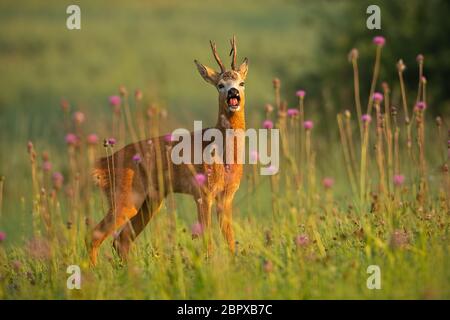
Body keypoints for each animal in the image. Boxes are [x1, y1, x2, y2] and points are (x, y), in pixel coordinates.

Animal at [88, 37, 250, 264]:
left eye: (241, 83)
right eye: (220, 85)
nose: (232, 93)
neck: (223, 155)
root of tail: (105, 162)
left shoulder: (227, 196)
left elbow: (230, 241)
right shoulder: (202, 192)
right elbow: (208, 242)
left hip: (149, 201)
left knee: (121, 240)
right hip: (126, 197)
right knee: (94, 236)